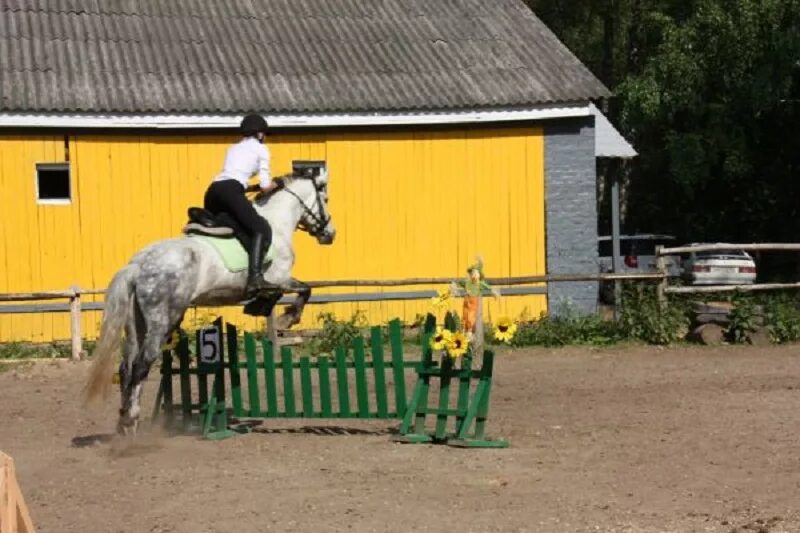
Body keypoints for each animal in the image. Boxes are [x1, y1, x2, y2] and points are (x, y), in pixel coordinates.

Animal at [86, 170, 336, 432]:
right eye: (325, 199)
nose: (330, 234)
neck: (277, 223)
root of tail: (137, 265)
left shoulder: (277, 281)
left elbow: (289, 292)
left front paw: (262, 308)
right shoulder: (279, 278)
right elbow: (303, 290)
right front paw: (285, 318)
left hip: (136, 323)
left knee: (126, 368)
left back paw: (123, 423)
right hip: (162, 320)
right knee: (141, 365)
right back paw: (131, 419)